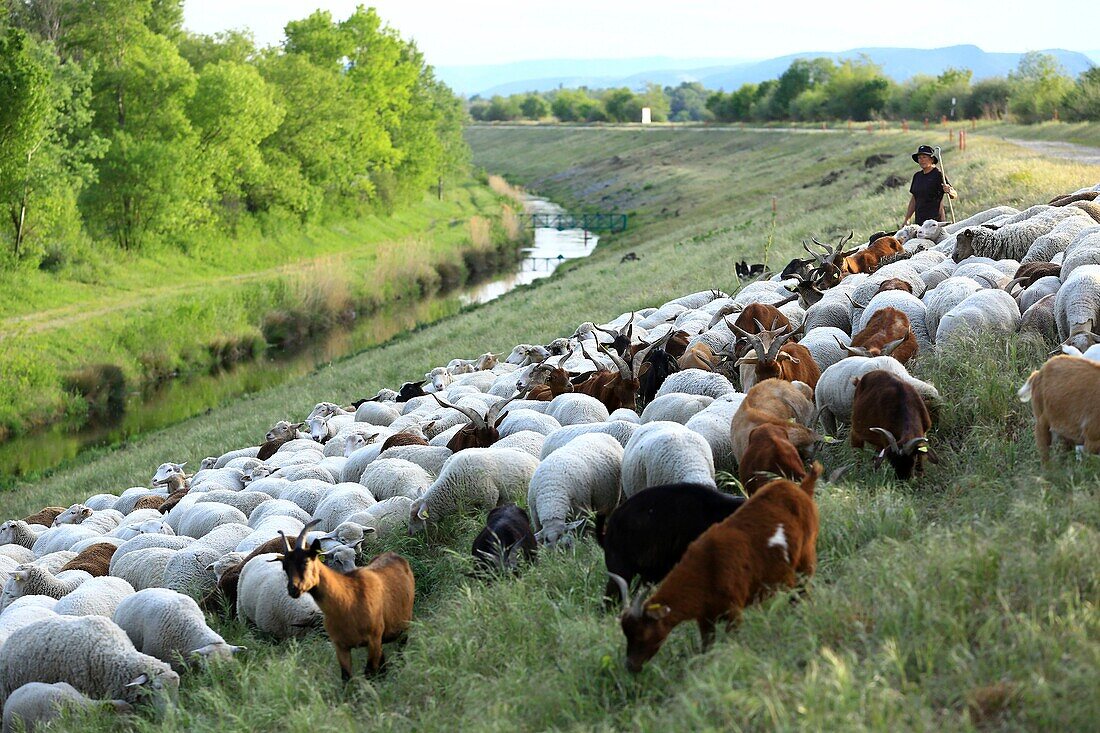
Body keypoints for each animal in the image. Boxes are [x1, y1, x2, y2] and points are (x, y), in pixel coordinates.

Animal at [616, 460, 822, 669]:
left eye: (642, 633)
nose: (630, 666)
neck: (707, 568)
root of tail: (801, 489)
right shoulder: (705, 620)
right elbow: (707, 648)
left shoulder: (734, 611)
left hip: (806, 559)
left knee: (804, 592)